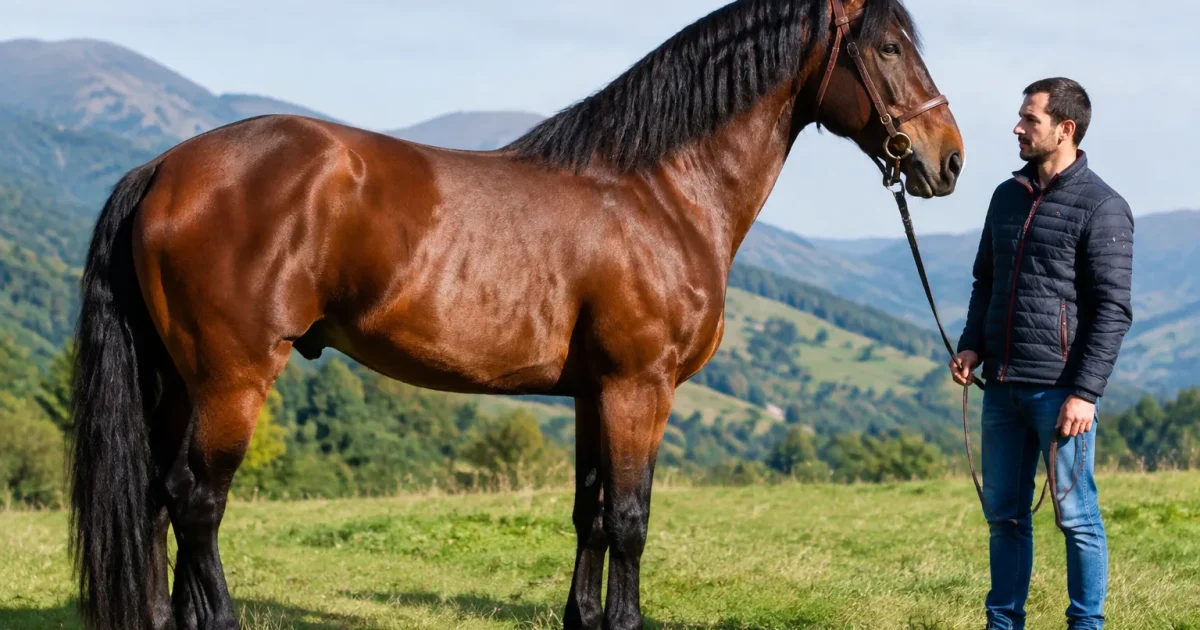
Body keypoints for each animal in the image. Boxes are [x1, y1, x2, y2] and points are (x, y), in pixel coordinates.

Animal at [68, 0, 963, 628]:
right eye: (889, 48)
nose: (948, 160)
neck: (657, 192)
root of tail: (163, 168)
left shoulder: (595, 394)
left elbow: (590, 516)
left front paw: (585, 617)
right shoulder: (640, 388)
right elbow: (630, 519)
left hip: (177, 379)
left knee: (155, 501)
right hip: (234, 376)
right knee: (196, 503)